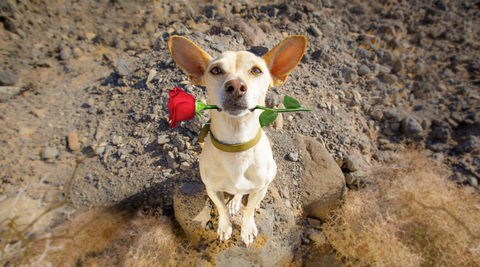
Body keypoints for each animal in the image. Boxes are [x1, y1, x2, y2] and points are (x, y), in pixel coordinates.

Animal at [167, 35, 306, 247]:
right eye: (216, 70)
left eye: (256, 70)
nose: (236, 87)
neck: (237, 144)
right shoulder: (212, 189)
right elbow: (221, 208)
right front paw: (225, 227)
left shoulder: (259, 188)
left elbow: (248, 210)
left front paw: (247, 229)